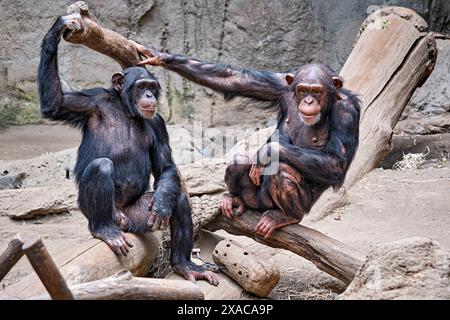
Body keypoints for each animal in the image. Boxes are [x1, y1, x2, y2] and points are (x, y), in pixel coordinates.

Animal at [38, 15, 218, 284]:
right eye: (141, 86)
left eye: (153, 86)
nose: (149, 95)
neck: (125, 109)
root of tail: (123, 218)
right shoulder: (88, 102)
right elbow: (55, 103)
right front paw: (57, 29)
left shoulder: (159, 124)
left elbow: (166, 167)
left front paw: (162, 203)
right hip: (99, 213)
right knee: (101, 167)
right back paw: (105, 229)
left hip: (138, 217)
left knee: (179, 197)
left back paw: (183, 263)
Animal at [134, 43, 362, 238]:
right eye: (303, 90)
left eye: (317, 91)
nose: (308, 100)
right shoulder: (281, 85)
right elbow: (235, 80)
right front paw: (159, 56)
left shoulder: (347, 112)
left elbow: (335, 161)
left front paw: (268, 152)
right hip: (254, 198)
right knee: (240, 161)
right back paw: (236, 198)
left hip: (293, 206)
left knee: (281, 171)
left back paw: (285, 215)